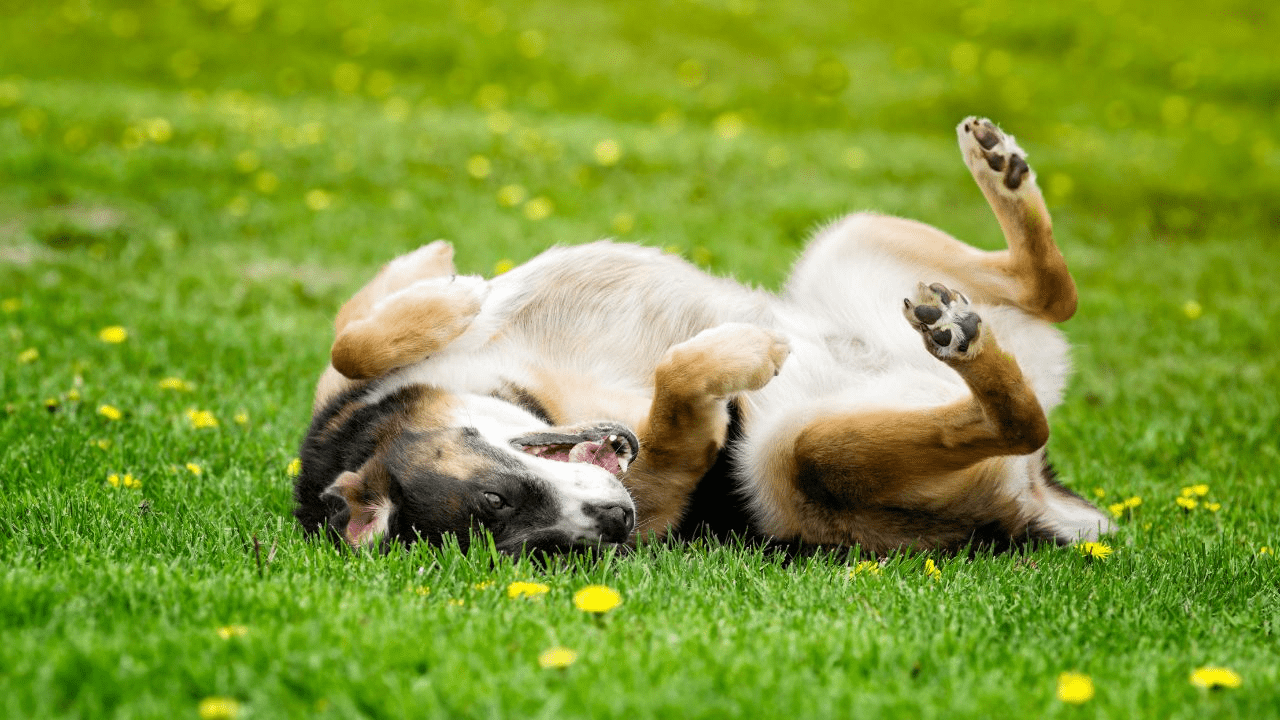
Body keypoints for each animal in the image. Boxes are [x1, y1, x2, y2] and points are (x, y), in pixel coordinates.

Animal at [294, 119, 1116, 556]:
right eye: (544, 550)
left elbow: (350, 336)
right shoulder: (664, 483)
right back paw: (965, 345)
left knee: (1056, 292)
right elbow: (678, 391)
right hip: (796, 463)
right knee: (1015, 413)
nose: (616, 521)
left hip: (850, 238)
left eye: (496, 497)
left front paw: (444, 285)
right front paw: (734, 358)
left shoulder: (347, 372)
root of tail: (1037, 502)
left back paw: (1000, 173)